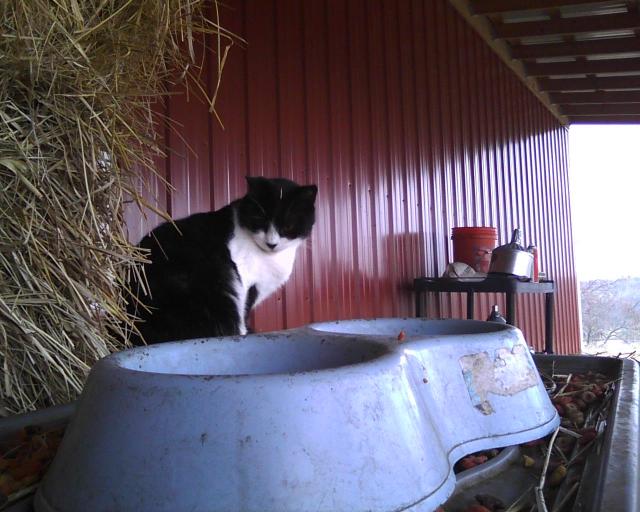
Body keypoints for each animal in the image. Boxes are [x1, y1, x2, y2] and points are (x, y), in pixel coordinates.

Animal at [129, 176, 318, 344]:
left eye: (288, 226)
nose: (272, 243)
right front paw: (247, 332)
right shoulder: (246, 284)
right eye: (260, 222)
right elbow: (244, 313)